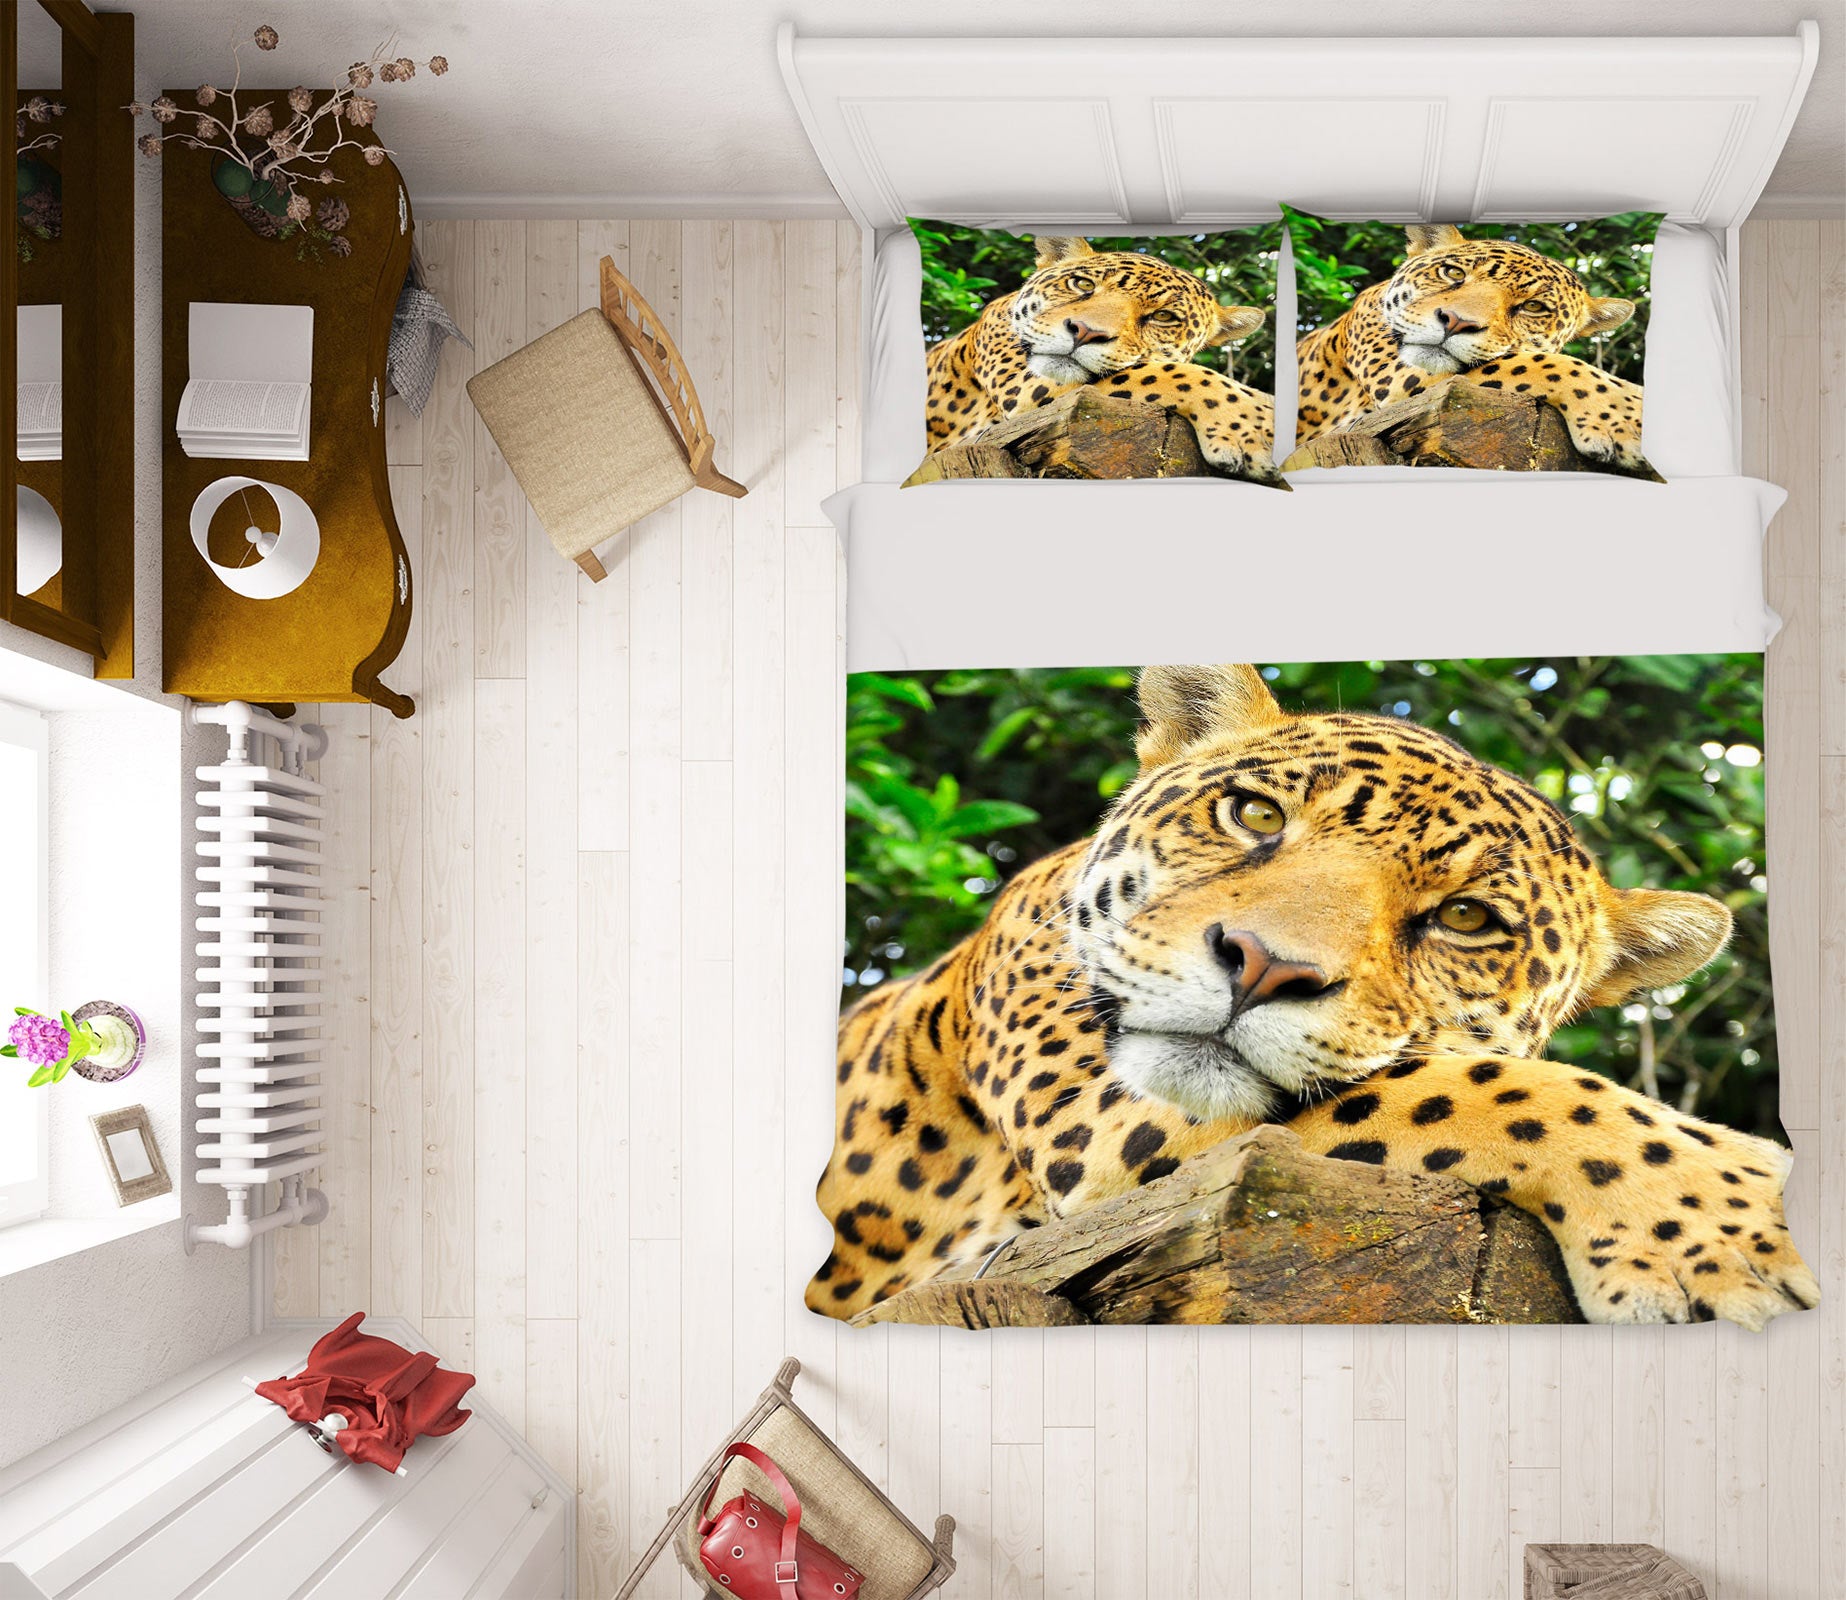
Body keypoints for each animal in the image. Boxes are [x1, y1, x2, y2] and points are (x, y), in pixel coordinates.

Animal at [811, 664, 1817, 1331]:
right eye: (1254, 814)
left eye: (1466, 918)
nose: (1260, 966)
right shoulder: (1093, 1117)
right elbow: (1477, 1091)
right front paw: (1727, 1215)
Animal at [923, 236, 1283, 486]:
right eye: (1082, 283)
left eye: (1163, 317)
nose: (1084, 331)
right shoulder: (1025, 386)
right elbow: (1169, 373)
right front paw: (1252, 425)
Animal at [1294, 223, 1650, 474]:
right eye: (1453, 272)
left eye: (1533, 307)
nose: (1455, 322)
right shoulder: (1397, 374)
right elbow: (1537, 362)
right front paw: (1628, 415)